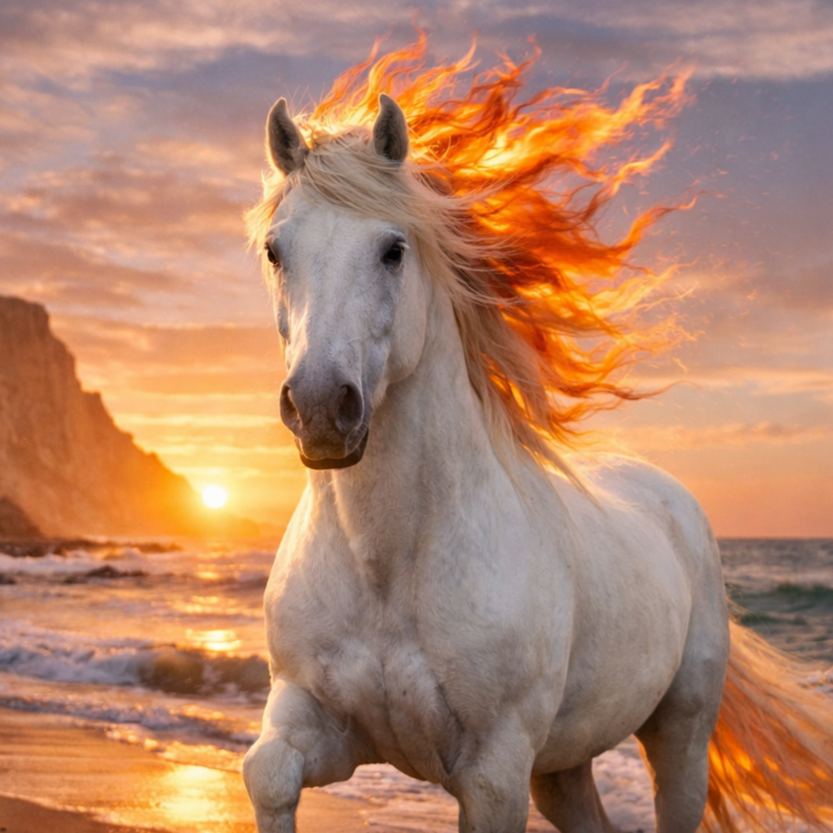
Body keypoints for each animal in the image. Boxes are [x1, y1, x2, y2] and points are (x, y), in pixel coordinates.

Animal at [242, 46, 833, 833]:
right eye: (276, 251)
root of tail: (670, 497)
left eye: (393, 249)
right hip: (562, 764)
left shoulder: (494, 773)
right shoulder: (311, 718)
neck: (386, 567)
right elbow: (268, 773)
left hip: (678, 733)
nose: (318, 410)